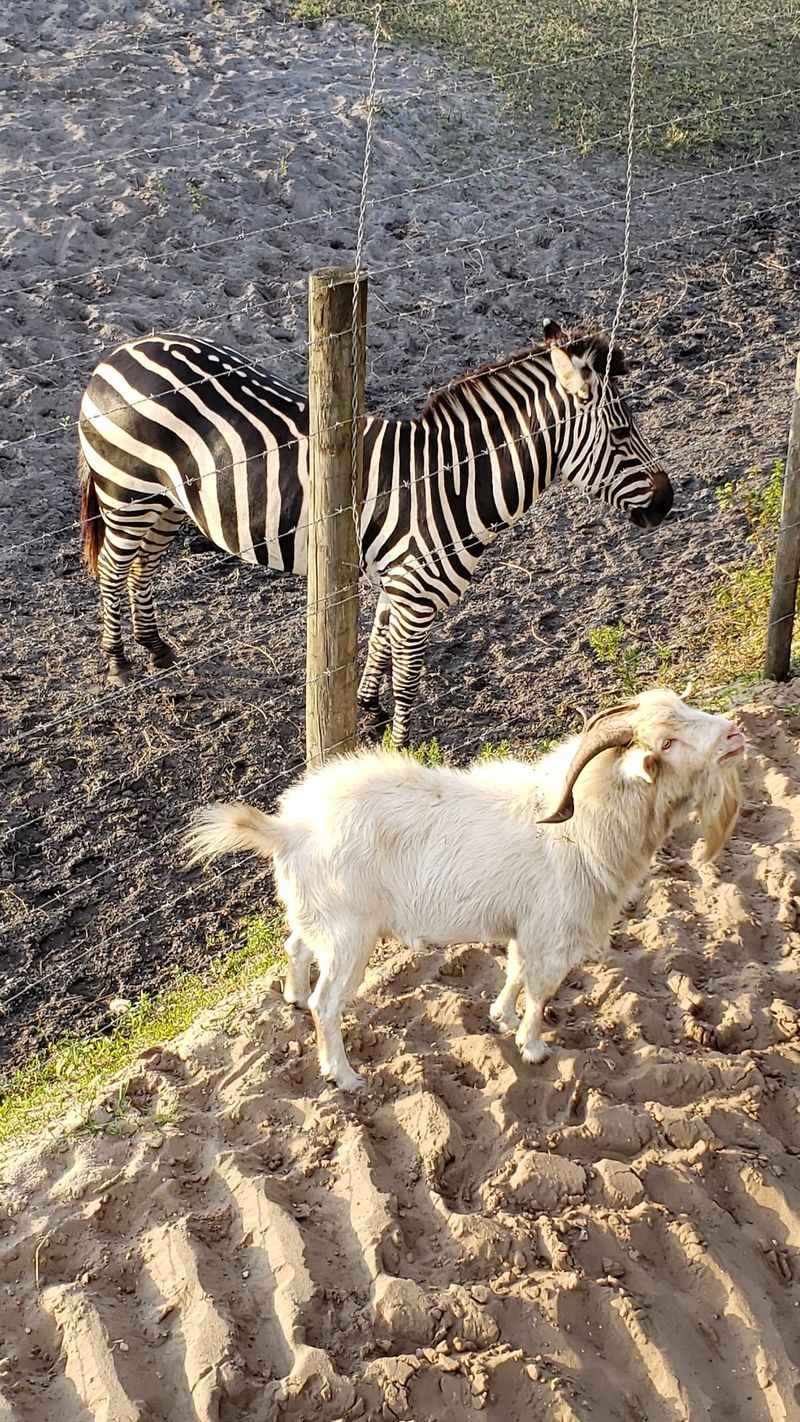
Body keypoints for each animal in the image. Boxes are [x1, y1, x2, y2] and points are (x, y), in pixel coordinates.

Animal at [184, 689, 744, 1090]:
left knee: (295, 946)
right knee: (328, 1003)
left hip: (315, 914)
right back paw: (344, 1076)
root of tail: (288, 829)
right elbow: (541, 988)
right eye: (666, 742)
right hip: (349, 935)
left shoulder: (526, 925)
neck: (582, 821)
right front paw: (533, 1046)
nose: (734, 735)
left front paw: (501, 1016)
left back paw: (294, 998)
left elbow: (515, 972)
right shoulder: (552, 929)